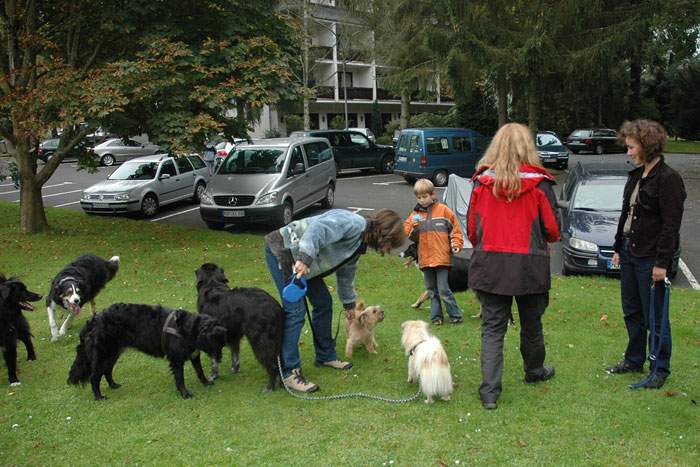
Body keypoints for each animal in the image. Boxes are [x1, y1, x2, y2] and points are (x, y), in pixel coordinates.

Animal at [68, 306, 227, 400]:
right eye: (216, 345)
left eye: (222, 345)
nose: (219, 360)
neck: (187, 328)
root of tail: (94, 320)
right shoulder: (176, 360)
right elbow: (180, 379)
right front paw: (185, 394)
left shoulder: (194, 354)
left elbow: (200, 372)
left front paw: (206, 382)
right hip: (103, 354)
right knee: (94, 377)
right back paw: (99, 396)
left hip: (113, 353)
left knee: (107, 371)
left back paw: (113, 385)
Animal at [193, 264, 284, 392]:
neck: (212, 284)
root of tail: (275, 306)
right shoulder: (233, 335)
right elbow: (235, 354)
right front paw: (234, 369)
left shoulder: (211, 339)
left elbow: (214, 360)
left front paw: (213, 376)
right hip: (276, 340)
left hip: (260, 342)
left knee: (272, 365)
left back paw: (269, 387)